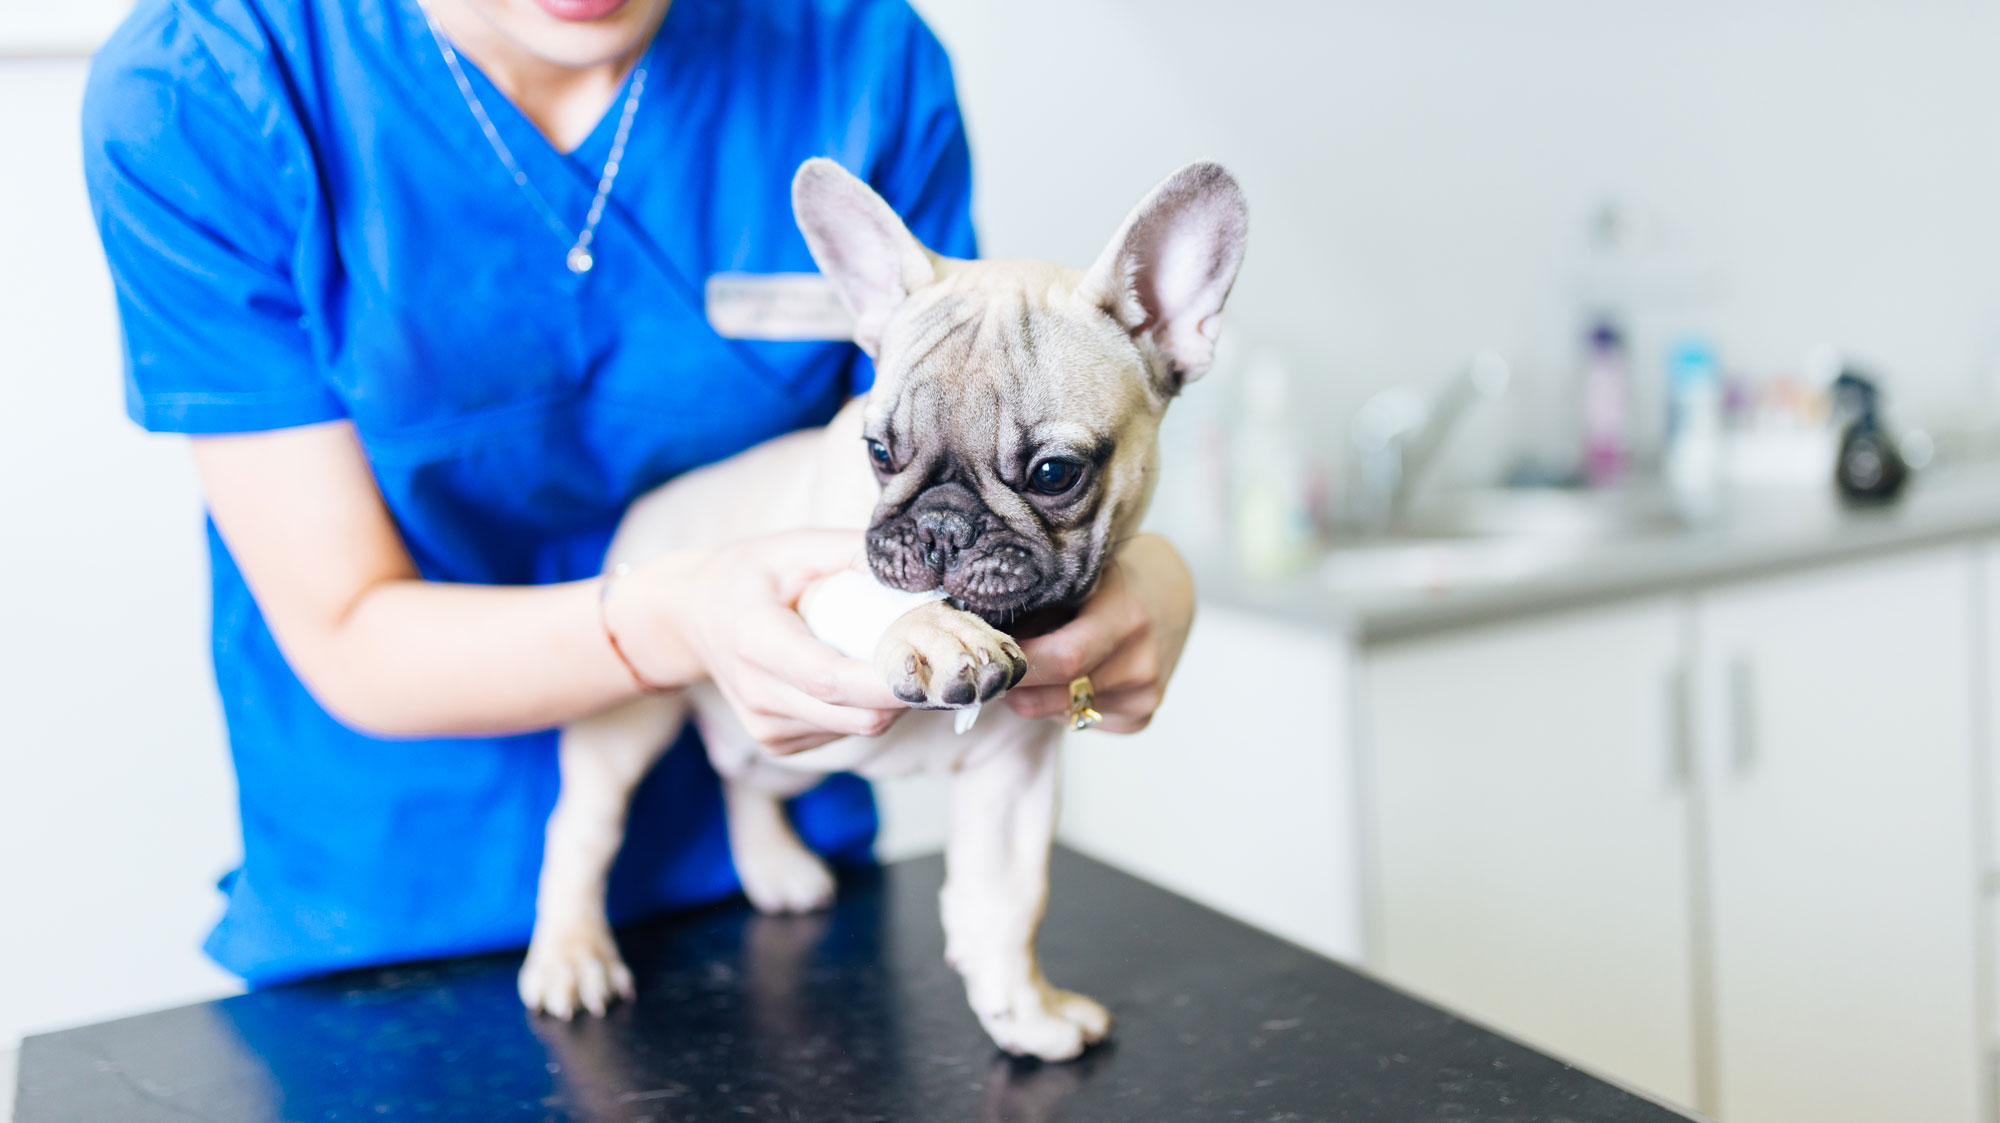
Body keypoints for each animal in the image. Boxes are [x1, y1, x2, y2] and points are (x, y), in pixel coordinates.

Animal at [520, 157, 1232, 1055]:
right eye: (880, 452)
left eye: (1054, 473)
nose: (941, 525)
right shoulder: (801, 586)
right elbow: (856, 593)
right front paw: (934, 630)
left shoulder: (1015, 776)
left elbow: (1009, 901)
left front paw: (1024, 1013)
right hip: (628, 722)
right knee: (581, 828)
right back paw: (570, 954)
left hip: (776, 753)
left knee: (743, 778)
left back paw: (774, 867)